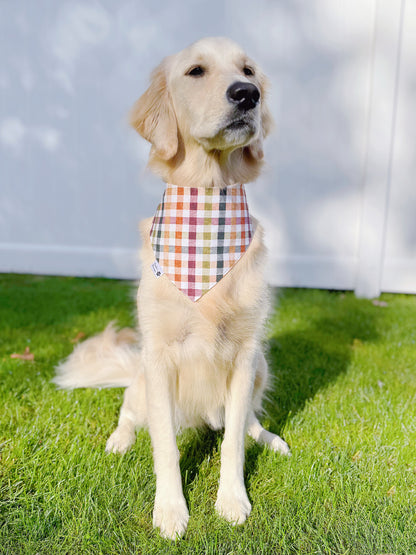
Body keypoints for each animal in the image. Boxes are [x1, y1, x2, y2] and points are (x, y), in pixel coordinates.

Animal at [54, 37, 290, 540]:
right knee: (128, 411)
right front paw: (170, 511)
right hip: (142, 378)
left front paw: (232, 501)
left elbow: (233, 444)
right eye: (196, 71)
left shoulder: (245, 355)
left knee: (245, 422)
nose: (247, 95)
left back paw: (268, 437)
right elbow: (165, 447)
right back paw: (119, 440)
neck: (207, 208)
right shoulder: (159, 357)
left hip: (261, 364)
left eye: (249, 71)